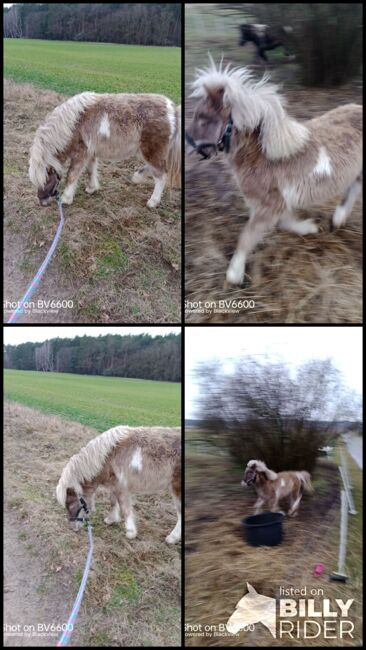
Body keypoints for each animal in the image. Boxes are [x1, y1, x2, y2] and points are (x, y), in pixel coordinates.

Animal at [29, 91, 181, 206]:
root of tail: (172, 110)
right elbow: (90, 170)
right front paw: (91, 188)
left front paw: (66, 199)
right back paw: (137, 177)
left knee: (161, 175)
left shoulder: (80, 153)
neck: (72, 125)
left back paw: (153, 202)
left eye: (45, 180)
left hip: (151, 150)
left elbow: (72, 174)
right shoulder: (90, 152)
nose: (42, 202)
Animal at [187, 57, 362, 284]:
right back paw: (338, 219)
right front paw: (309, 228)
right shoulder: (276, 203)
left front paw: (234, 274)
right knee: (353, 188)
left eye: (203, 118)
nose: (186, 143)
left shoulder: (269, 206)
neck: (261, 156)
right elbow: (285, 222)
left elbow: (247, 236)